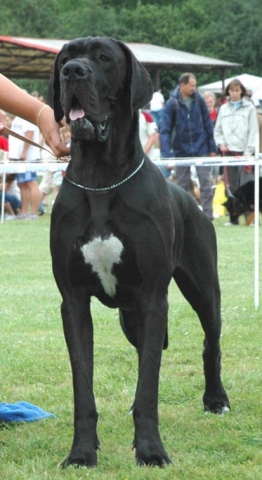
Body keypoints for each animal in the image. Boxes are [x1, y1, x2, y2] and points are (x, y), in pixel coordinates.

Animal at [49, 36, 229, 468]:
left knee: (210, 343)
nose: (73, 73)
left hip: (204, 291)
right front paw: (81, 453)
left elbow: (149, 384)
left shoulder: (152, 299)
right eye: (65, 59)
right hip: (131, 318)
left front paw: (150, 450)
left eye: (103, 58)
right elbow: (84, 385)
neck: (101, 178)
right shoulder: (74, 302)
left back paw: (216, 399)